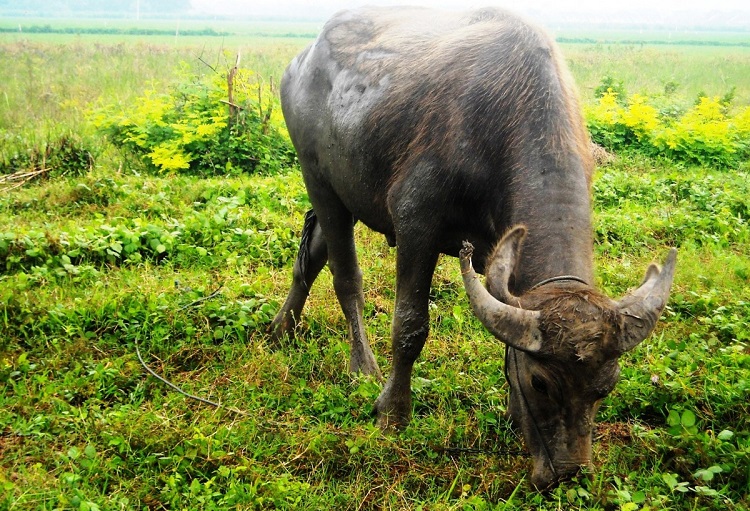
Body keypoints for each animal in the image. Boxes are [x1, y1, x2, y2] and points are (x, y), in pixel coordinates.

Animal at [268, 6, 676, 490]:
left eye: (606, 387)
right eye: (540, 383)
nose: (568, 473)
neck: (504, 116)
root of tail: (302, 60)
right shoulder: (416, 223)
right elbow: (410, 326)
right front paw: (392, 412)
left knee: (311, 256)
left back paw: (281, 327)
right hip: (320, 181)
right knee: (346, 277)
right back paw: (361, 365)